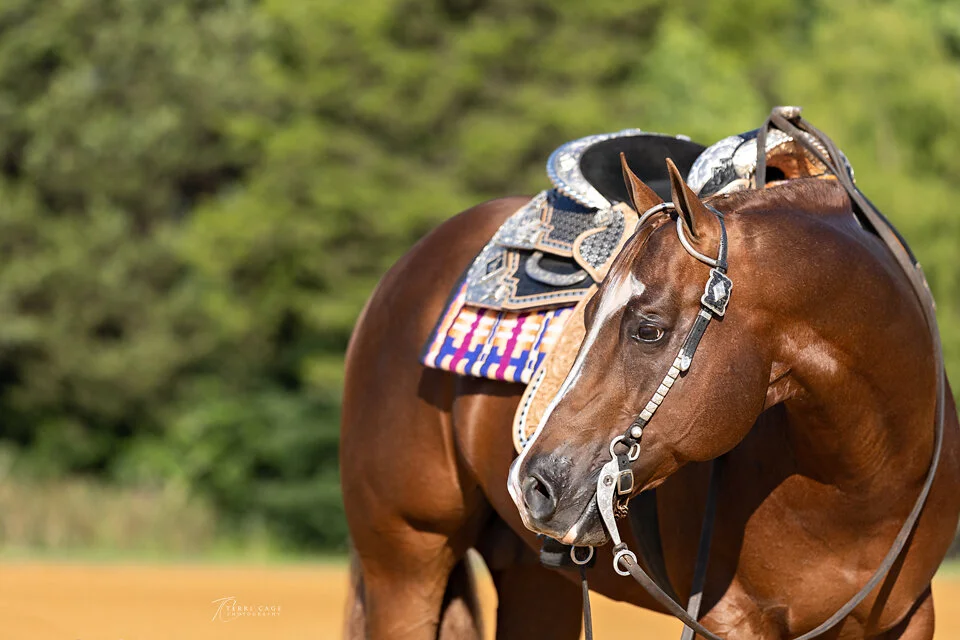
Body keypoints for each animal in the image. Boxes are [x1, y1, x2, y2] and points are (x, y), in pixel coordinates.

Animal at [341, 154, 960, 638]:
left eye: (649, 329)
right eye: (588, 313)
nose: (532, 484)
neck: (859, 485)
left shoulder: (909, 618)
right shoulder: (730, 620)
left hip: (533, 577)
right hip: (406, 559)